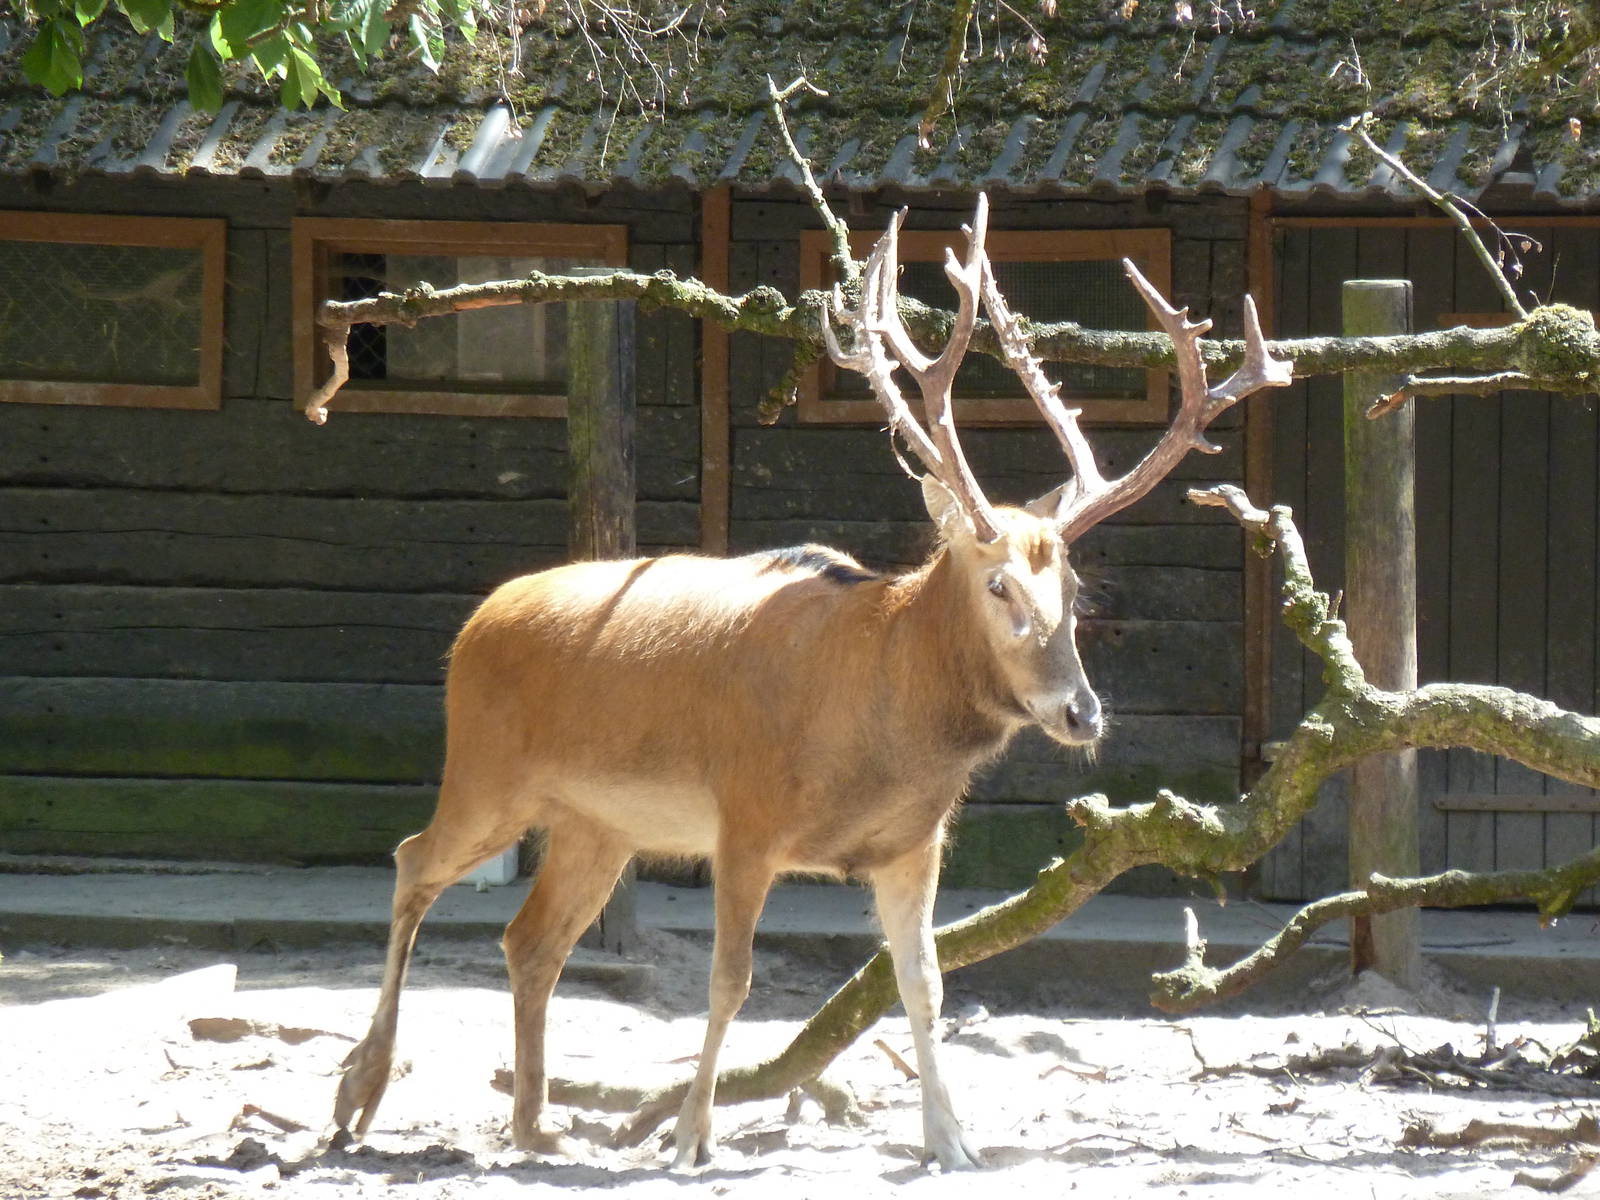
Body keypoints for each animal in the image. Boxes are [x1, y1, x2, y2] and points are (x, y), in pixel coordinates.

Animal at [329, 194, 1292, 1171]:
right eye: (998, 586)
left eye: (1074, 587)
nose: (1081, 710)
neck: (877, 735)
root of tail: (477, 623)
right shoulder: (746, 818)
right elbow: (730, 980)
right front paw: (690, 1137)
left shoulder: (913, 844)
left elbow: (924, 982)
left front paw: (953, 1142)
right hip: (486, 772)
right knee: (413, 860)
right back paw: (359, 1094)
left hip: (598, 823)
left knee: (530, 940)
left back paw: (536, 1125)